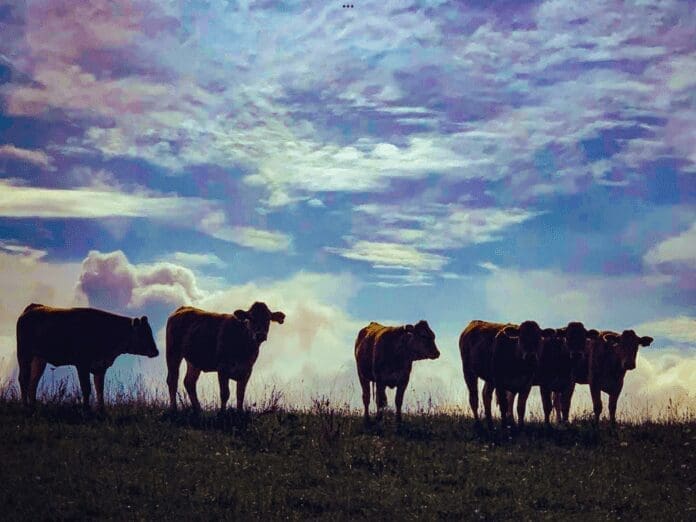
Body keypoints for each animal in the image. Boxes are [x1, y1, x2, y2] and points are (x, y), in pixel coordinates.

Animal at [16, 303, 159, 411]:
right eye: (142, 334)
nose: (156, 351)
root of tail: (34, 307)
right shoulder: (82, 364)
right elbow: (86, 388)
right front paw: (86, 410)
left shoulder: (100, 367)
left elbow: (99, 389)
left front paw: (101, 410)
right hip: (24, 354)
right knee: (23, 379)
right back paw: (25, 406)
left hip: (39, 359)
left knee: (33, 382)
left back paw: (33, 406)